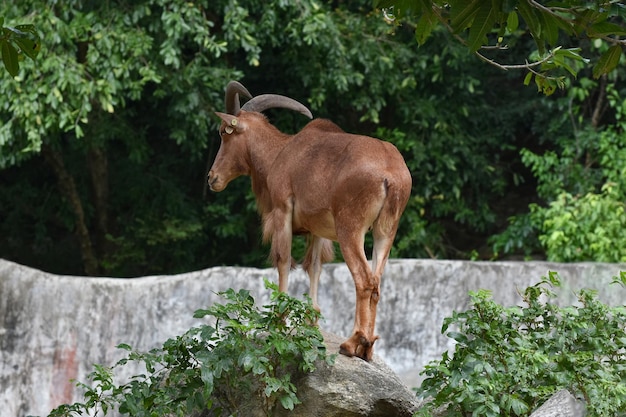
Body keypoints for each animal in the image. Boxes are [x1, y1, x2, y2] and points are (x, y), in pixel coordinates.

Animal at [207, 81, 412, 360]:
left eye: (223, 133)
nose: (212, 178)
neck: (279, 153)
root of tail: (390, 175)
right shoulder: (317, 231)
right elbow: (314, 267)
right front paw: (311, 322)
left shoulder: (282, 211)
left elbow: (283, 261)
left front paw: (279, 321)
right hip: (386, 231)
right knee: (377, 281)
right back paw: (368, 348)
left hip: (351, 229)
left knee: (364, 280)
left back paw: (352, 344)